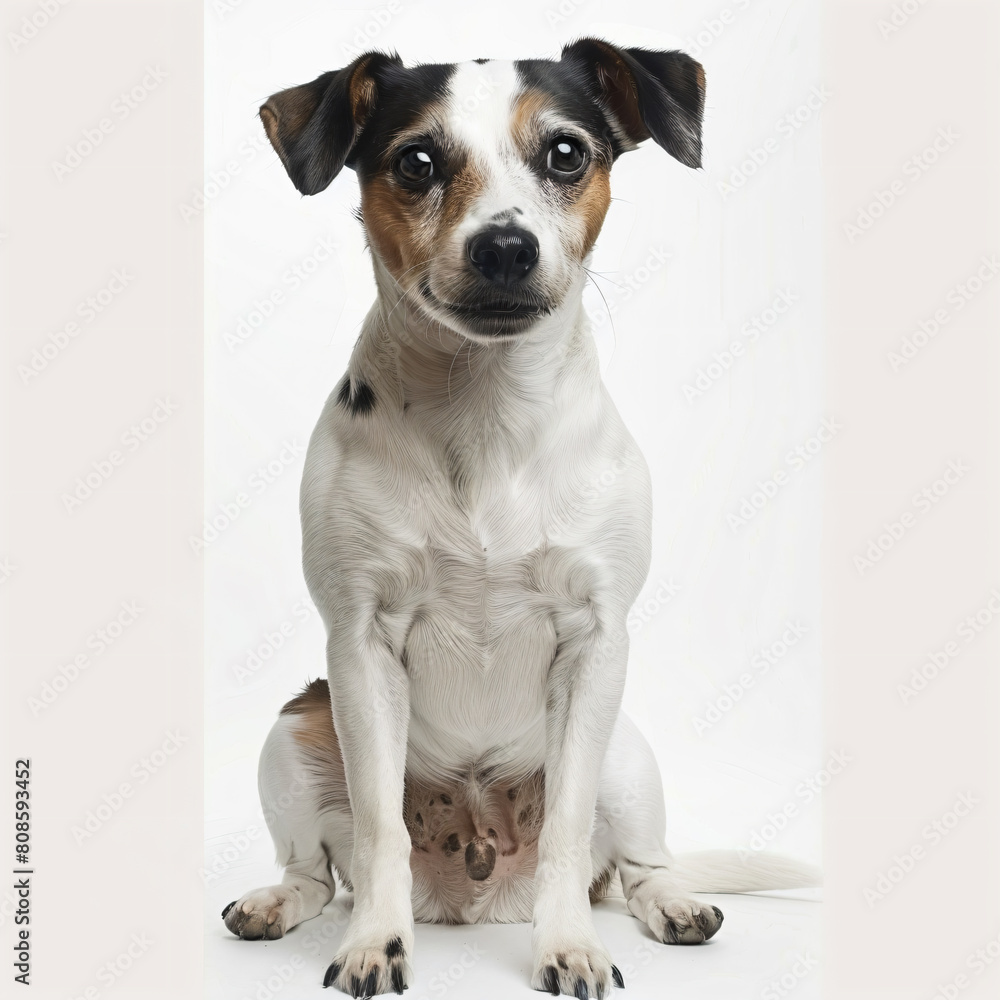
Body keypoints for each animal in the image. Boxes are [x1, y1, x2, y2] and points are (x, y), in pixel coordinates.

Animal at [225, 39, 820, 1000]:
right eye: (416, 162)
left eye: (567, 153)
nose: (504, 246)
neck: (485, 407)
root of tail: (474, 887)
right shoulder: (359, 644)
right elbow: (379, 833)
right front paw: (375, 944)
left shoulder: (595, 641)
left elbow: (570, 833)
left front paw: (568, 947)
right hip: (294, 727)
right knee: (317, 871)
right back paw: (278, 903)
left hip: (626, 750)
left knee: (637, 867)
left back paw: (673, 906)